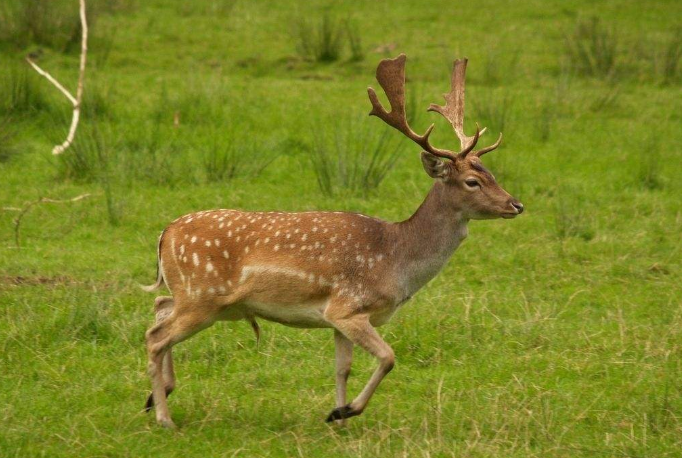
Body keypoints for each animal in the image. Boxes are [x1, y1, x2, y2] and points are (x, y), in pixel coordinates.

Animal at [142, 54, 520, 430]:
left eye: (492, 174)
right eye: (472, 181)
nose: (516, 204)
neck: (396, 260)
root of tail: (165, 233)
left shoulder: (339, 319)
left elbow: (343, 368)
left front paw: (338, 420)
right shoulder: (347, 306)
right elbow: (388, 357)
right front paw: (345, 411)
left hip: (200, 298)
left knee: (160, 307)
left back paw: (155, 396)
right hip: (202, 296)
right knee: (156, 337)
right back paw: (164, 417)